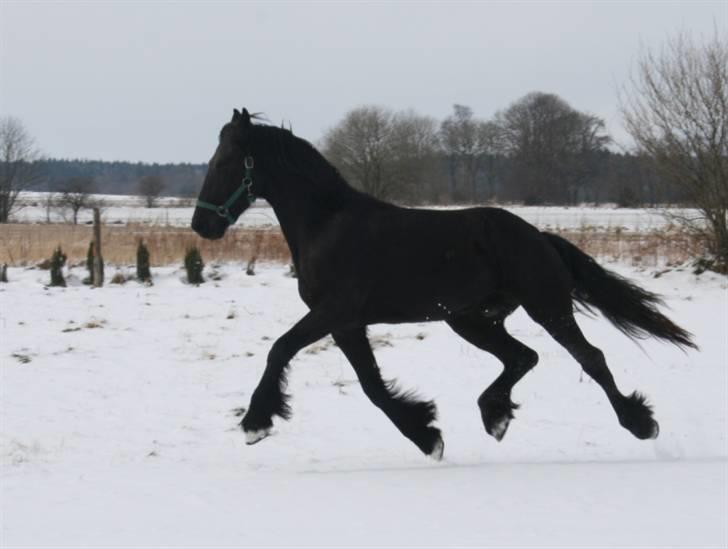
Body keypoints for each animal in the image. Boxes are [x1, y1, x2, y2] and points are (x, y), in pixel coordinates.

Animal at [191, 107, 696, 458]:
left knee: (590, 358)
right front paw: (426, 434)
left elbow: (281, 349)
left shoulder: (335, 312)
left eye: (224, 162)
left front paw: (256, 423)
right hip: (470, 320)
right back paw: (495, 416)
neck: (328, 224)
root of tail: (538, 236)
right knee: (522, 357)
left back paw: (640, 423)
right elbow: (372, 386)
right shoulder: (347, 324)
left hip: (546, 306)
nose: (202, 226)